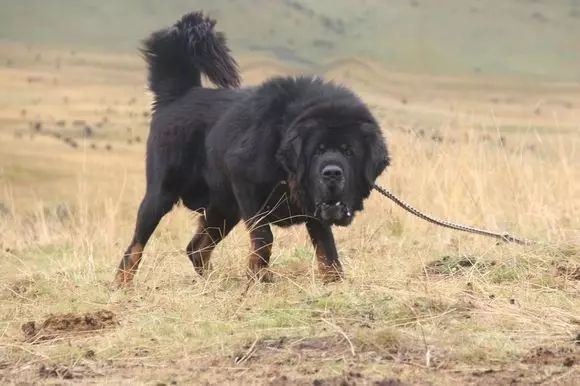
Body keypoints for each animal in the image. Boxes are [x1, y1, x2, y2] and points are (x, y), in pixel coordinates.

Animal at [113, 12, 388, 284]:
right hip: (162, 194)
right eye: (317, 151)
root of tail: (178, 94)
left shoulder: (313, 209)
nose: (331, 173)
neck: (282, 146)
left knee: (197, 248)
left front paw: (333, 281)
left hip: (223, 208)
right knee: (136, 247)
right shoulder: (245, 183)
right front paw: (259, 277)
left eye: (349, 151)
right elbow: (263, 236)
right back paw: (123, 284)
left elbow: (326, 246)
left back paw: (213, 282)